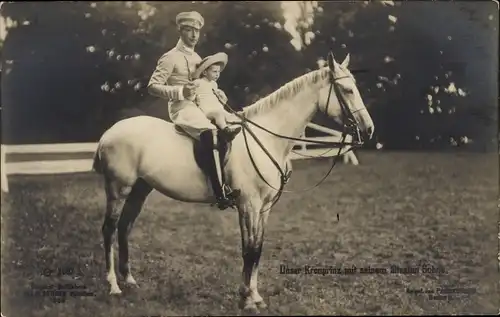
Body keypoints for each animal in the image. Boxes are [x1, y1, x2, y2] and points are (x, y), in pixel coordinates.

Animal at [94, 51, 376, 312]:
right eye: (347, 90)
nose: (369, 129)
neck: (267, 138)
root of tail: (109, 133)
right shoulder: (248, 205)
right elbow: (248, 249)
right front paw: (247, 299)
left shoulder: (263, 208)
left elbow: (257, 248)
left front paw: (255, 296)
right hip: (118, 188)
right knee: (109, 229)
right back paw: (113, 285)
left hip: (140, 189)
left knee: (125, 227)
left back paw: (129, 280)